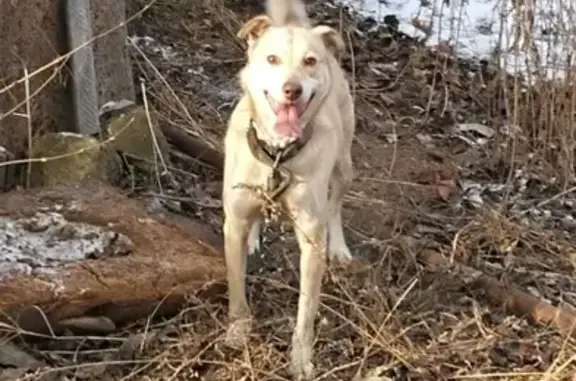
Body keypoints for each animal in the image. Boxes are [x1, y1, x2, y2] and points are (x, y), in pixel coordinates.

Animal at [222, 0, 354, 376]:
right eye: (272, 59)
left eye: (310, 61)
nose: (292, 90)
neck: (279, 154)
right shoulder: (232, 223)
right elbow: (236, 285)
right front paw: (238, 330)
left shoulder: (311, 239)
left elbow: (306, 311)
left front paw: (300, 359)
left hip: (344, 165)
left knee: (336, 205)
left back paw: (339, 247)